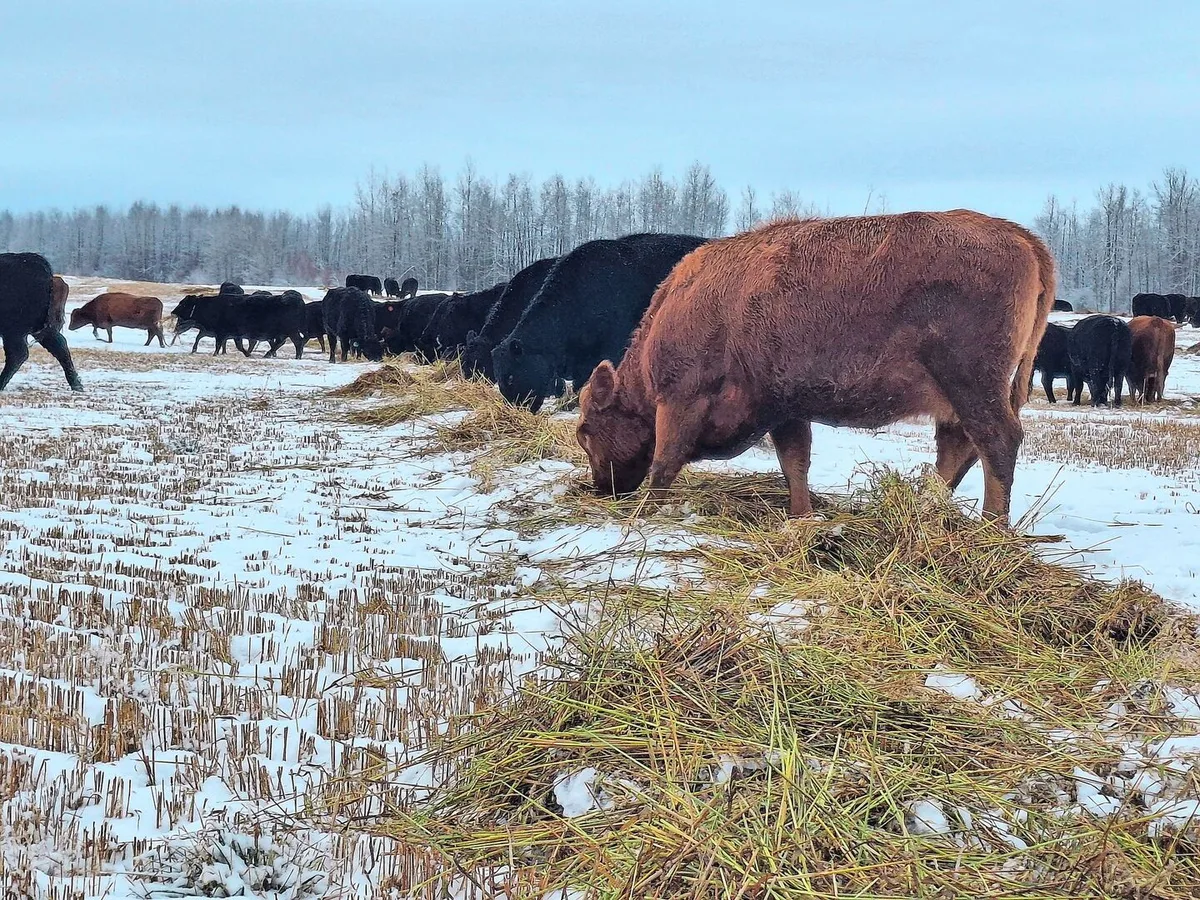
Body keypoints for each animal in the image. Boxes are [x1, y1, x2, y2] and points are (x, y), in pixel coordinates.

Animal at [574, 211, 1056, 524]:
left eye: (585, 432)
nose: (602, 487)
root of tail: (1021, 237)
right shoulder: (785, 410)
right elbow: (795, 463)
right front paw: (801, 515)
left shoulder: (681, 398)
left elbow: (664, 462)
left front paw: (644, 513)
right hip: (960, 396)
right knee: (958, 447)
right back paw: (927, 508)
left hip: (971, 383)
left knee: (997, 441)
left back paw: (992, 529)